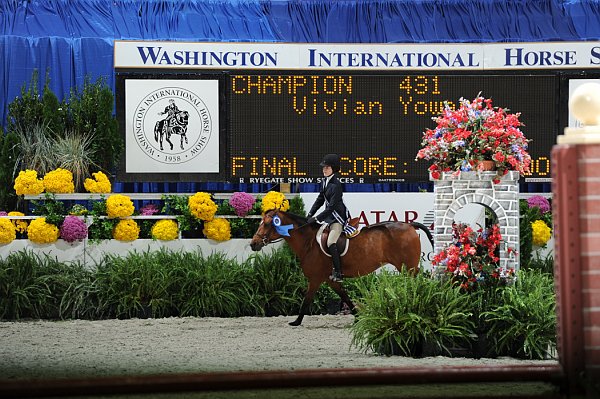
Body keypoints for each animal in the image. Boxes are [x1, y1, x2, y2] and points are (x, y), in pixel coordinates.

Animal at [248, 211, 432, 326]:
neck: (309, 242)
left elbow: (306, 300)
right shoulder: (330, 279)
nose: (253, 244)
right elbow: (345, 296)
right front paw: (358, 317)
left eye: (267, 224)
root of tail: (410, 226)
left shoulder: (315, 279)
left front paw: (296, 321)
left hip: (408, 268)